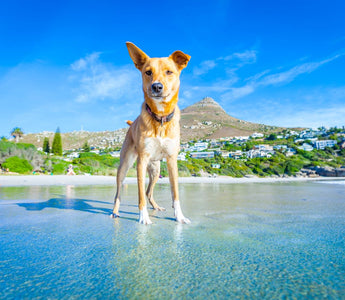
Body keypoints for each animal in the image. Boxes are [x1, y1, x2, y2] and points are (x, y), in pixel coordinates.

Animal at [110, 42, 191, 225]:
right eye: (148, 72)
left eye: (169, 72)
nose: (156, 86)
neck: (160, 118)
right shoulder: (141, 161)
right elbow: (139, 194)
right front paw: (143, 217)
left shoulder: (171, 160)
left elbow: (175, 193)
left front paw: (180, 217)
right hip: (125, 165)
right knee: (118, 193)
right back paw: (115, 212)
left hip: (155, 170)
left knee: (148, 191)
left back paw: (156, 207)